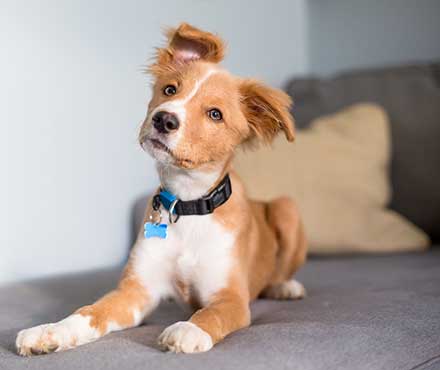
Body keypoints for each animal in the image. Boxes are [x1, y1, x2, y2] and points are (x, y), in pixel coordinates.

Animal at [16, 23, 306, 356]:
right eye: (170, 90)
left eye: (215, 114)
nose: (164, 119)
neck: (188, 205)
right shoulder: (135, 292)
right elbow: (89, 312)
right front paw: (49, 331)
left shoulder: (230, 298)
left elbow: (211, 314)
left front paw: (189, 330)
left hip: (286, 207)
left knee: (281, 270)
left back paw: (285, 286)